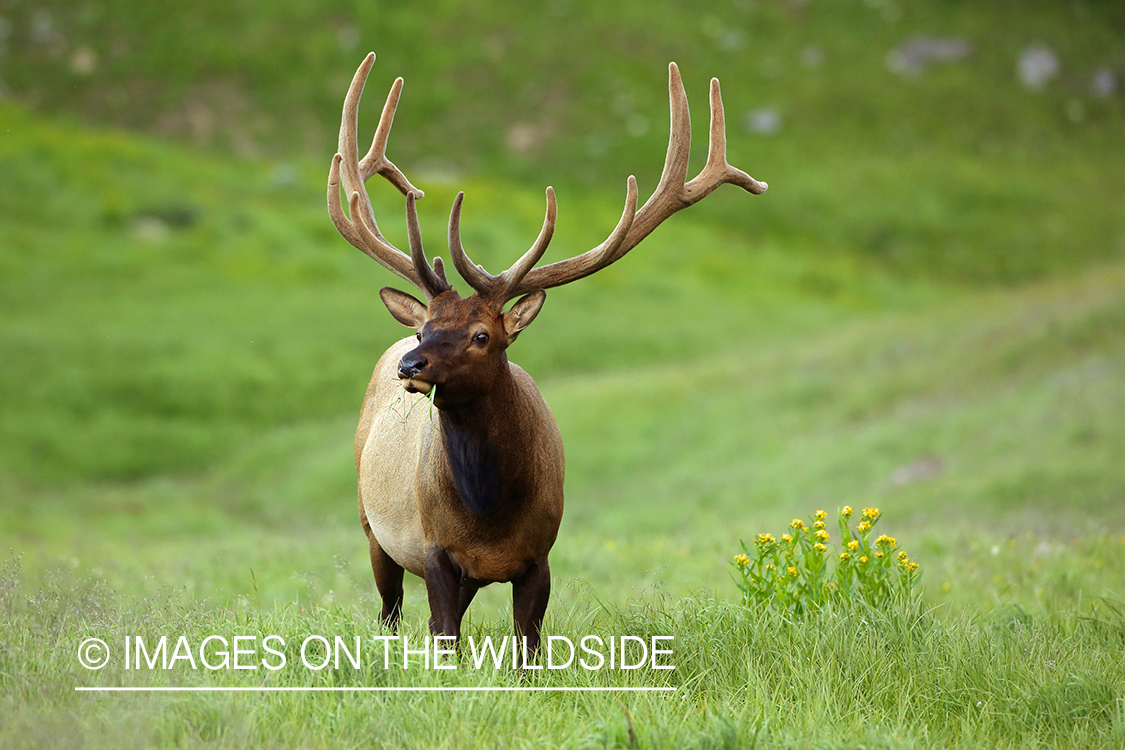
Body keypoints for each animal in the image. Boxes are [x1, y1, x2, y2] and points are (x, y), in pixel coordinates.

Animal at [326, 52, 765, 656]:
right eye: (425, 331)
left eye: (482, 336)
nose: (409, 367)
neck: (489, 516)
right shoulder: (434, 549)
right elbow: (444, 640)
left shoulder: (540, 557)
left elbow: (525, 650)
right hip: (373, 528)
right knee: (390, 614)